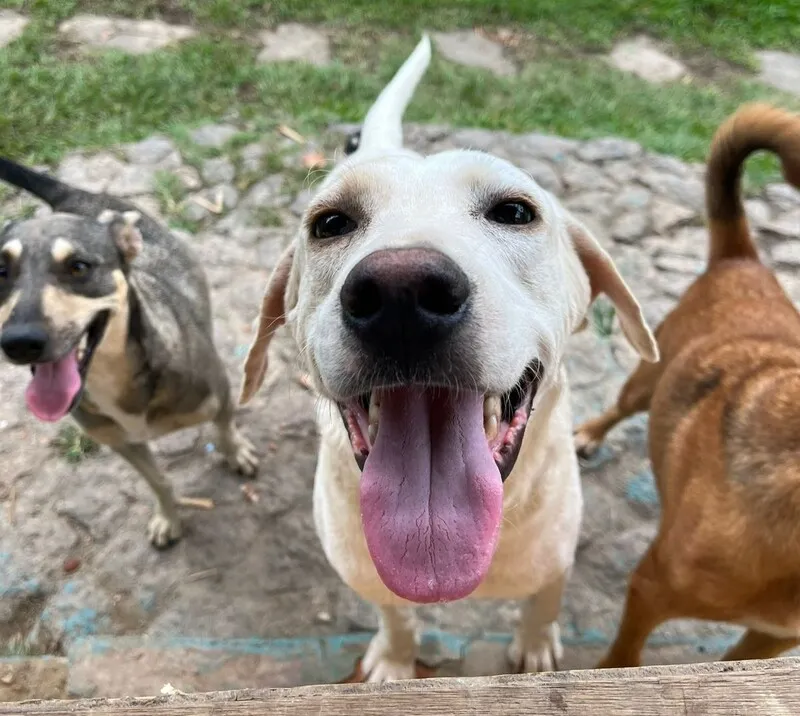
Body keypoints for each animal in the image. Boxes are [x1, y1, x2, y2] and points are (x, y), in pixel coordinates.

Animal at [239, 35, 656, 684]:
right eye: (330, 222)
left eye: (515, 211)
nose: (401, 292)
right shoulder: (373, 577)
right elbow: (395, 617)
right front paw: (395, 660)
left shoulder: (554, 559)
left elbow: (542, 605)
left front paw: (535, 648)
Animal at [576, 103, 800, 668]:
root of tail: (742, 259)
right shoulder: (652, 587)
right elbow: (623, 658)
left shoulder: (772, 637)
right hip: (647, 376)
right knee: (620, 406)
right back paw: (588, 435)